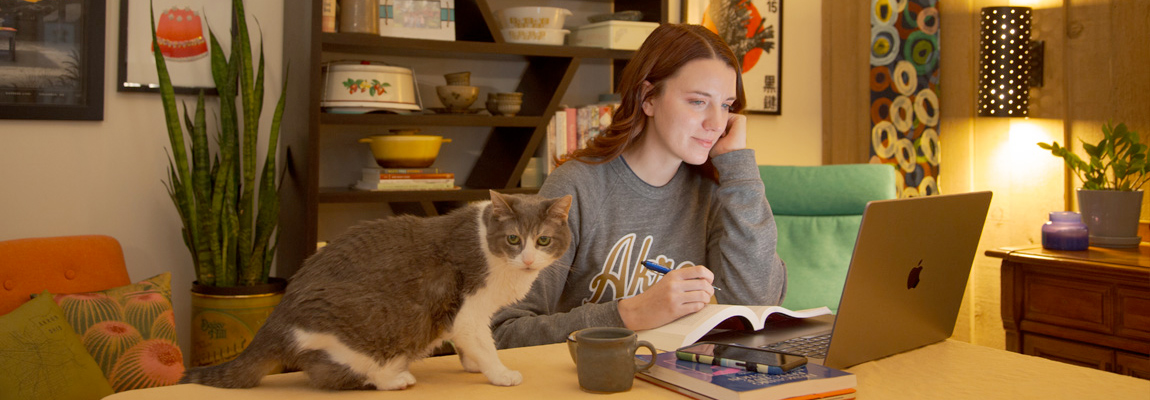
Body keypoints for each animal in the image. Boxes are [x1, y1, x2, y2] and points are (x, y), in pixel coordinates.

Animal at [181, 190, 572, 390]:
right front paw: (501, 374)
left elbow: (471, 346)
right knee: (334, 375)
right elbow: (484, 344)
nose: (527, 259)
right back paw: (395, 379)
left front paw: (472, 365)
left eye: (543, 240)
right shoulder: (468, 311)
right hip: (365, 330)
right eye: (513, 239)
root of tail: (276, 319)